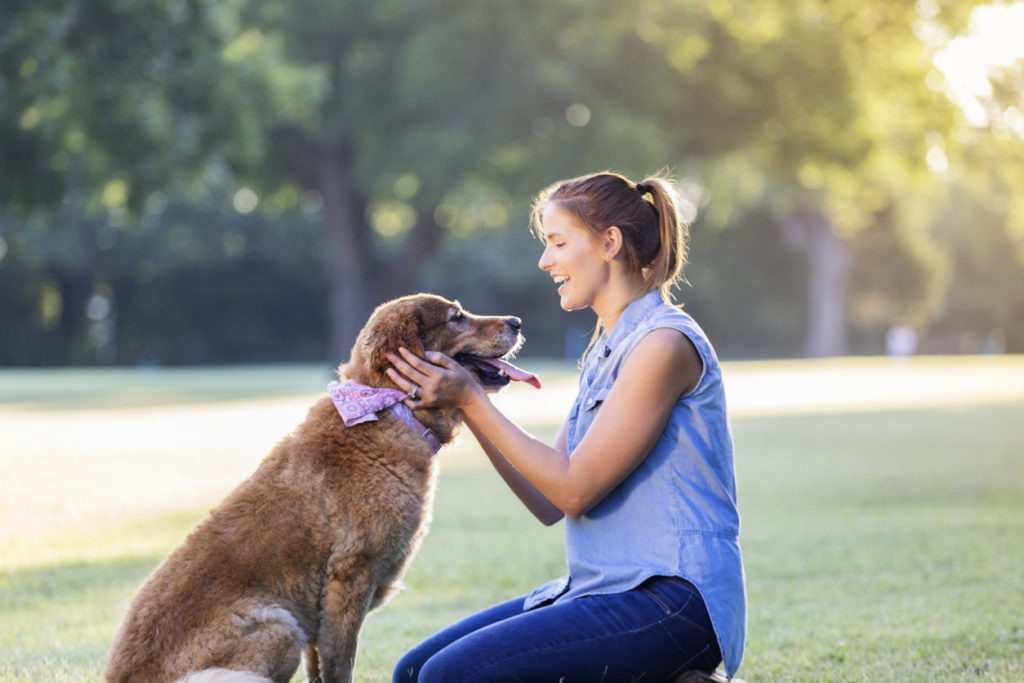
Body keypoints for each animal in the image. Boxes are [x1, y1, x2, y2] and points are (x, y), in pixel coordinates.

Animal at [102, 294, 536, 683]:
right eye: (456, 317)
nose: (517, 320)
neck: (389, 409)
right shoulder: (350, 576)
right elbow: (340, 663)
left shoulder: (320, 605)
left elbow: (319, 668)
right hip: (280, 627)